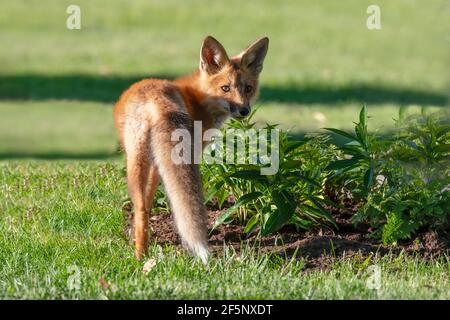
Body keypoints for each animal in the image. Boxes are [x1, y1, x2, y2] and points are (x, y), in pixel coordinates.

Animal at [113, 35, 268, 262]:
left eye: (248, 88)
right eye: (226, 88)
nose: (244, 111)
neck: (199, 98)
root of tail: (156, 97)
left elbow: (145, 204)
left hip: (137, 158)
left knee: (141, 207)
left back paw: (140, 254)